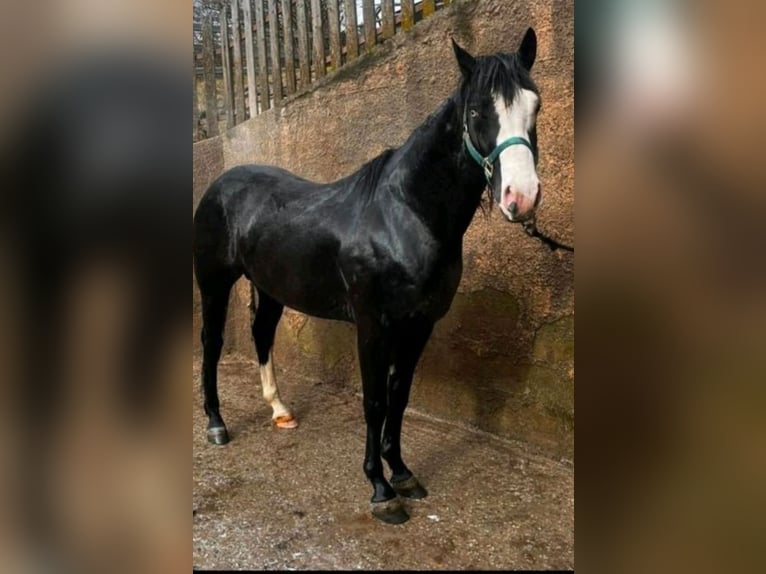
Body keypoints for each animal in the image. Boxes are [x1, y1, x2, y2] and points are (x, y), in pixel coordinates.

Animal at [193, 28, 543, 524]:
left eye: (536, 106)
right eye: (477, 111)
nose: (521, 197)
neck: (404, 215)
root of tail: (222, 183)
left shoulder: (419, 325)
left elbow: (399, 394)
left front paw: (402, 473)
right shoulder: (373, 325)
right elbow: (375, 400)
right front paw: (380, 489)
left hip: (272, 287)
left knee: (261, 334)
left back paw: (280, 410)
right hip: (214, 283)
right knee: (212, 343)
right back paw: (216, 423)